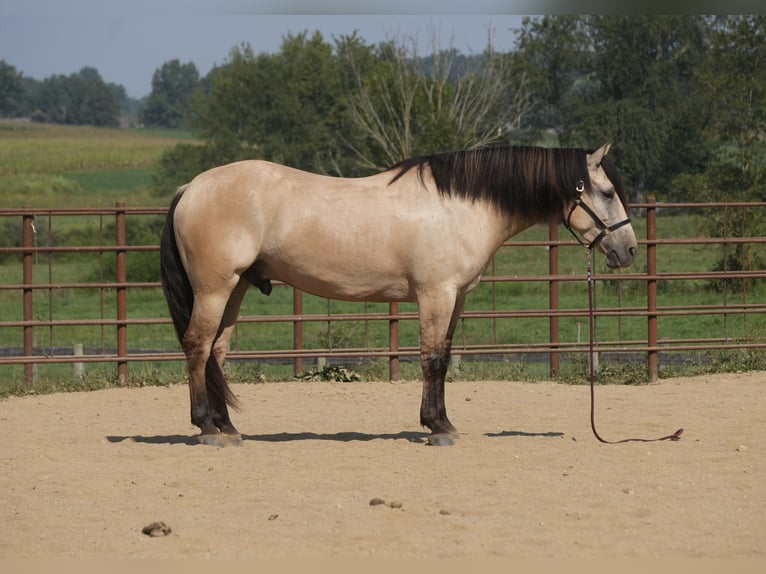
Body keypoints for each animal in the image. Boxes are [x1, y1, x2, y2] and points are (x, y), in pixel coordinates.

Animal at [160, 143, 637, 447]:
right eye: (607, 192)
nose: (628, 250)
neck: (458, 206)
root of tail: (190, 188)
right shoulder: (436, 295)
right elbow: (432, 358)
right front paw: (438, 427)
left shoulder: (457, 298)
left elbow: (443, 356)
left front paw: (441, 422)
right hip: (214, 289)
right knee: (197, 346)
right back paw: (206, 429)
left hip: (235, 289)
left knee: (216, 352)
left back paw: (227, 427)